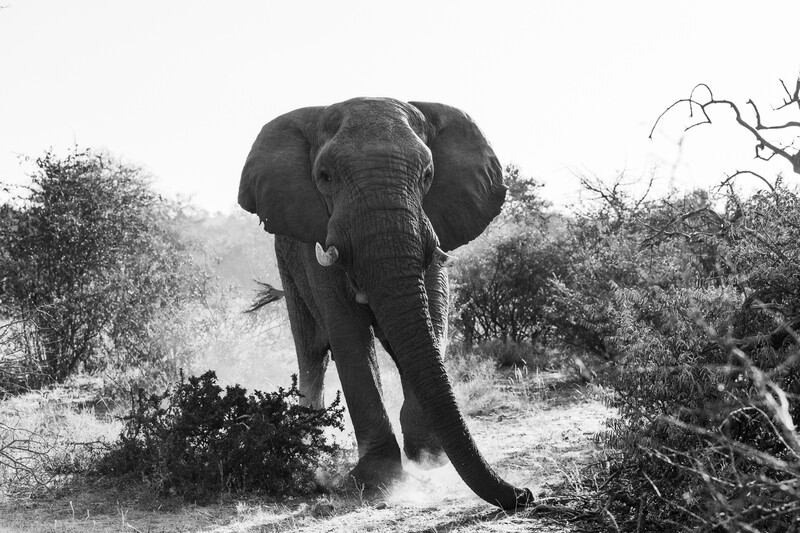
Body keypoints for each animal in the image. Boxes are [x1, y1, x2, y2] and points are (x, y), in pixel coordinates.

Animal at [238, 97, 532, 509]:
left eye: (427, 175)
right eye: (324, 176)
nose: (526, 494)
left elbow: (431, 321)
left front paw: (428, 457)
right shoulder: (315, 242)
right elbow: (349, 338)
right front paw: (378, 479)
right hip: (286, 261)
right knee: (312, 353)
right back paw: (307, 443)